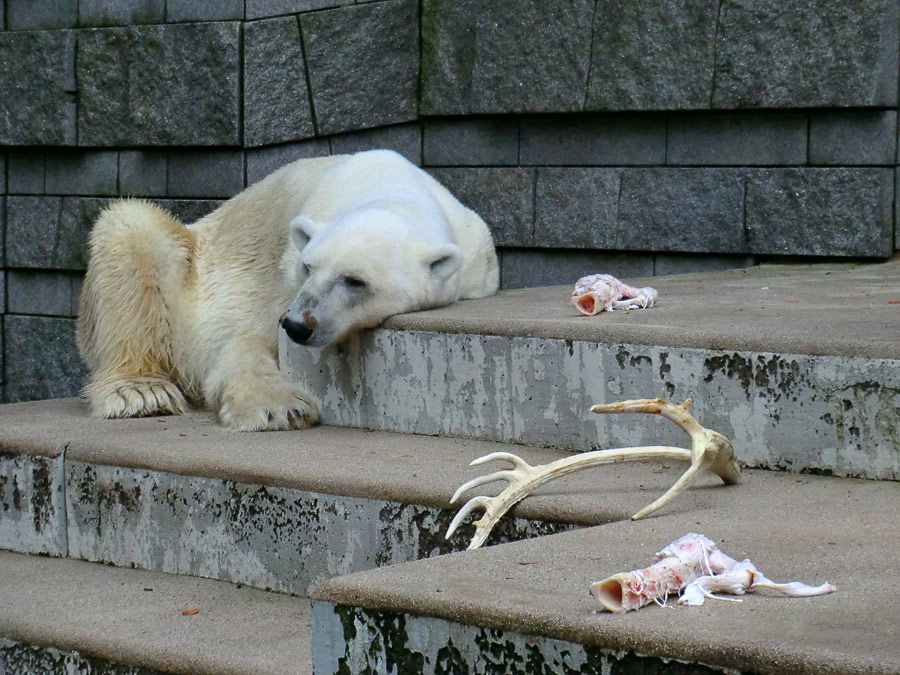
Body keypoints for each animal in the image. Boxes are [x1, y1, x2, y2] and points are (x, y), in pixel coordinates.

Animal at [76, 150, 500, 430]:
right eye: (308, 266)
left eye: (355, 281)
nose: (298, 325)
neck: (393, 189)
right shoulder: (280, 273)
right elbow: (247, 340)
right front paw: (281, 407)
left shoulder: (478, 262)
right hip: (186, 262)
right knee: (130, 230)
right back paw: (141, 392)